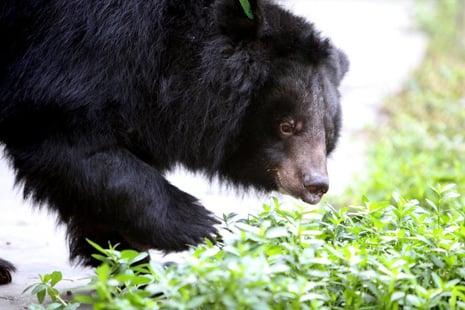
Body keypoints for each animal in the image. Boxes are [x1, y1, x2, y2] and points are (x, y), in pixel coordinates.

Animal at [0, 0, 346, 282]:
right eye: (287, 126)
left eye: (328, 135)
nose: (316, 185)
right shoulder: (77, 50)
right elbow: (67, 141)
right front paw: (202, 227)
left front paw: (134, 271)